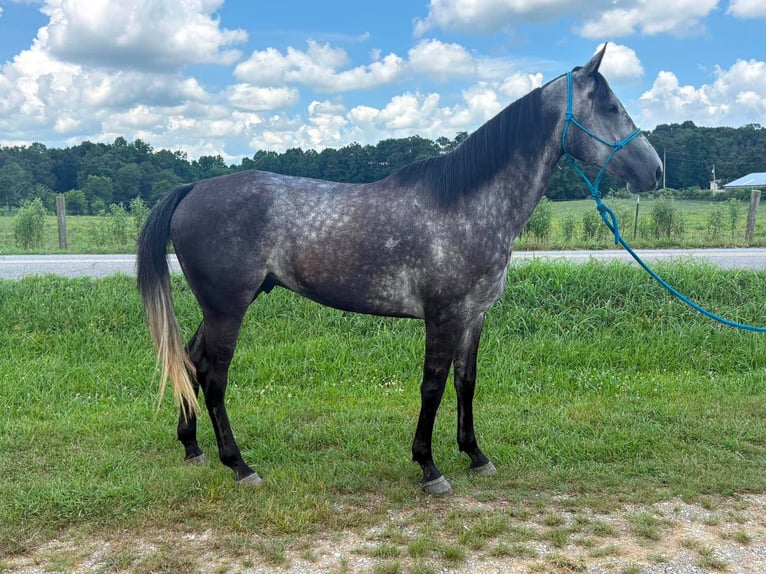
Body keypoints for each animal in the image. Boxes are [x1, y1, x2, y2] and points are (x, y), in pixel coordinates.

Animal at [137, 46, 662, 496]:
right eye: (610, 106)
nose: (656, 171)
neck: (467, 205)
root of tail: (192, 188)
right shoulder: (442, 315)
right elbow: (432, 386)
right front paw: (429, 467)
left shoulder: (474, 316)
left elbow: (465, 382)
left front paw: (475, 455)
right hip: (228, 308)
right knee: (214, 376)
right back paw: (239, 465)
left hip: (222, 307)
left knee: (191, 360)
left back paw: (192, 446)